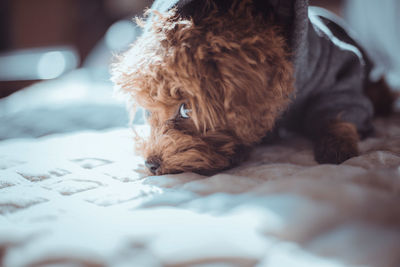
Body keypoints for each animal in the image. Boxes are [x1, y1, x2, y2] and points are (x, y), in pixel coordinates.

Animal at [111, 0, 396, 177]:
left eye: (185, 110)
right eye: (150, 112)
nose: (150, 164)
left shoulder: (334, 69)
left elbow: (339, 107)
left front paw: (338, 141)